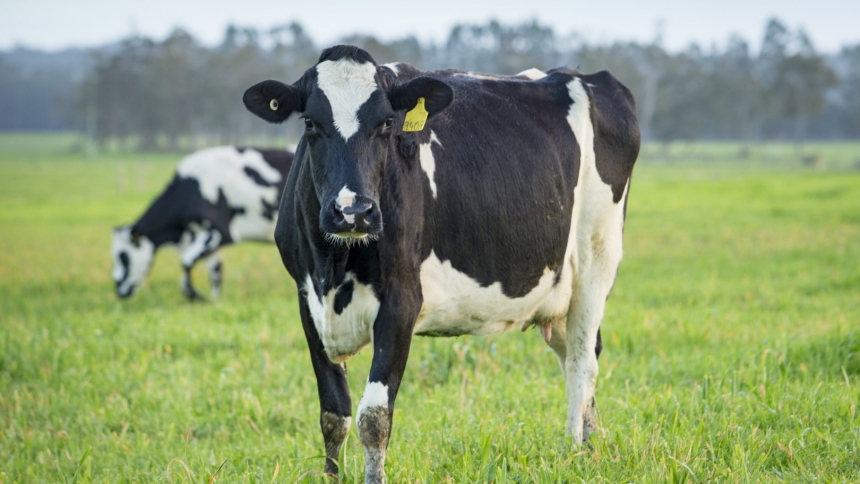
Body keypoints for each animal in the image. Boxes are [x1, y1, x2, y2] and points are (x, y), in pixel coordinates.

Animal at [111, 146, 293, 299]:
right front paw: (215, 301)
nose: (117, 288)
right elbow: (216, 272)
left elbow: (186, 260)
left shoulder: (219, 232)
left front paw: (193, 295)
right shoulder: (209, 240)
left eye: (123, 257)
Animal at [242, 45, 639, 483]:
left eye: (387, 123)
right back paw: (592, 444)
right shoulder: (307, 300)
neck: (335, 264)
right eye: (310, 122)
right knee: (575, 355)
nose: (352, 212)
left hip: (596, 259)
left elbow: (373, 418)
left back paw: (573, 451)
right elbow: (333, 416)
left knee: (583, 362)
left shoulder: (401, 301)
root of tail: (586, 76)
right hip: (557, 293)